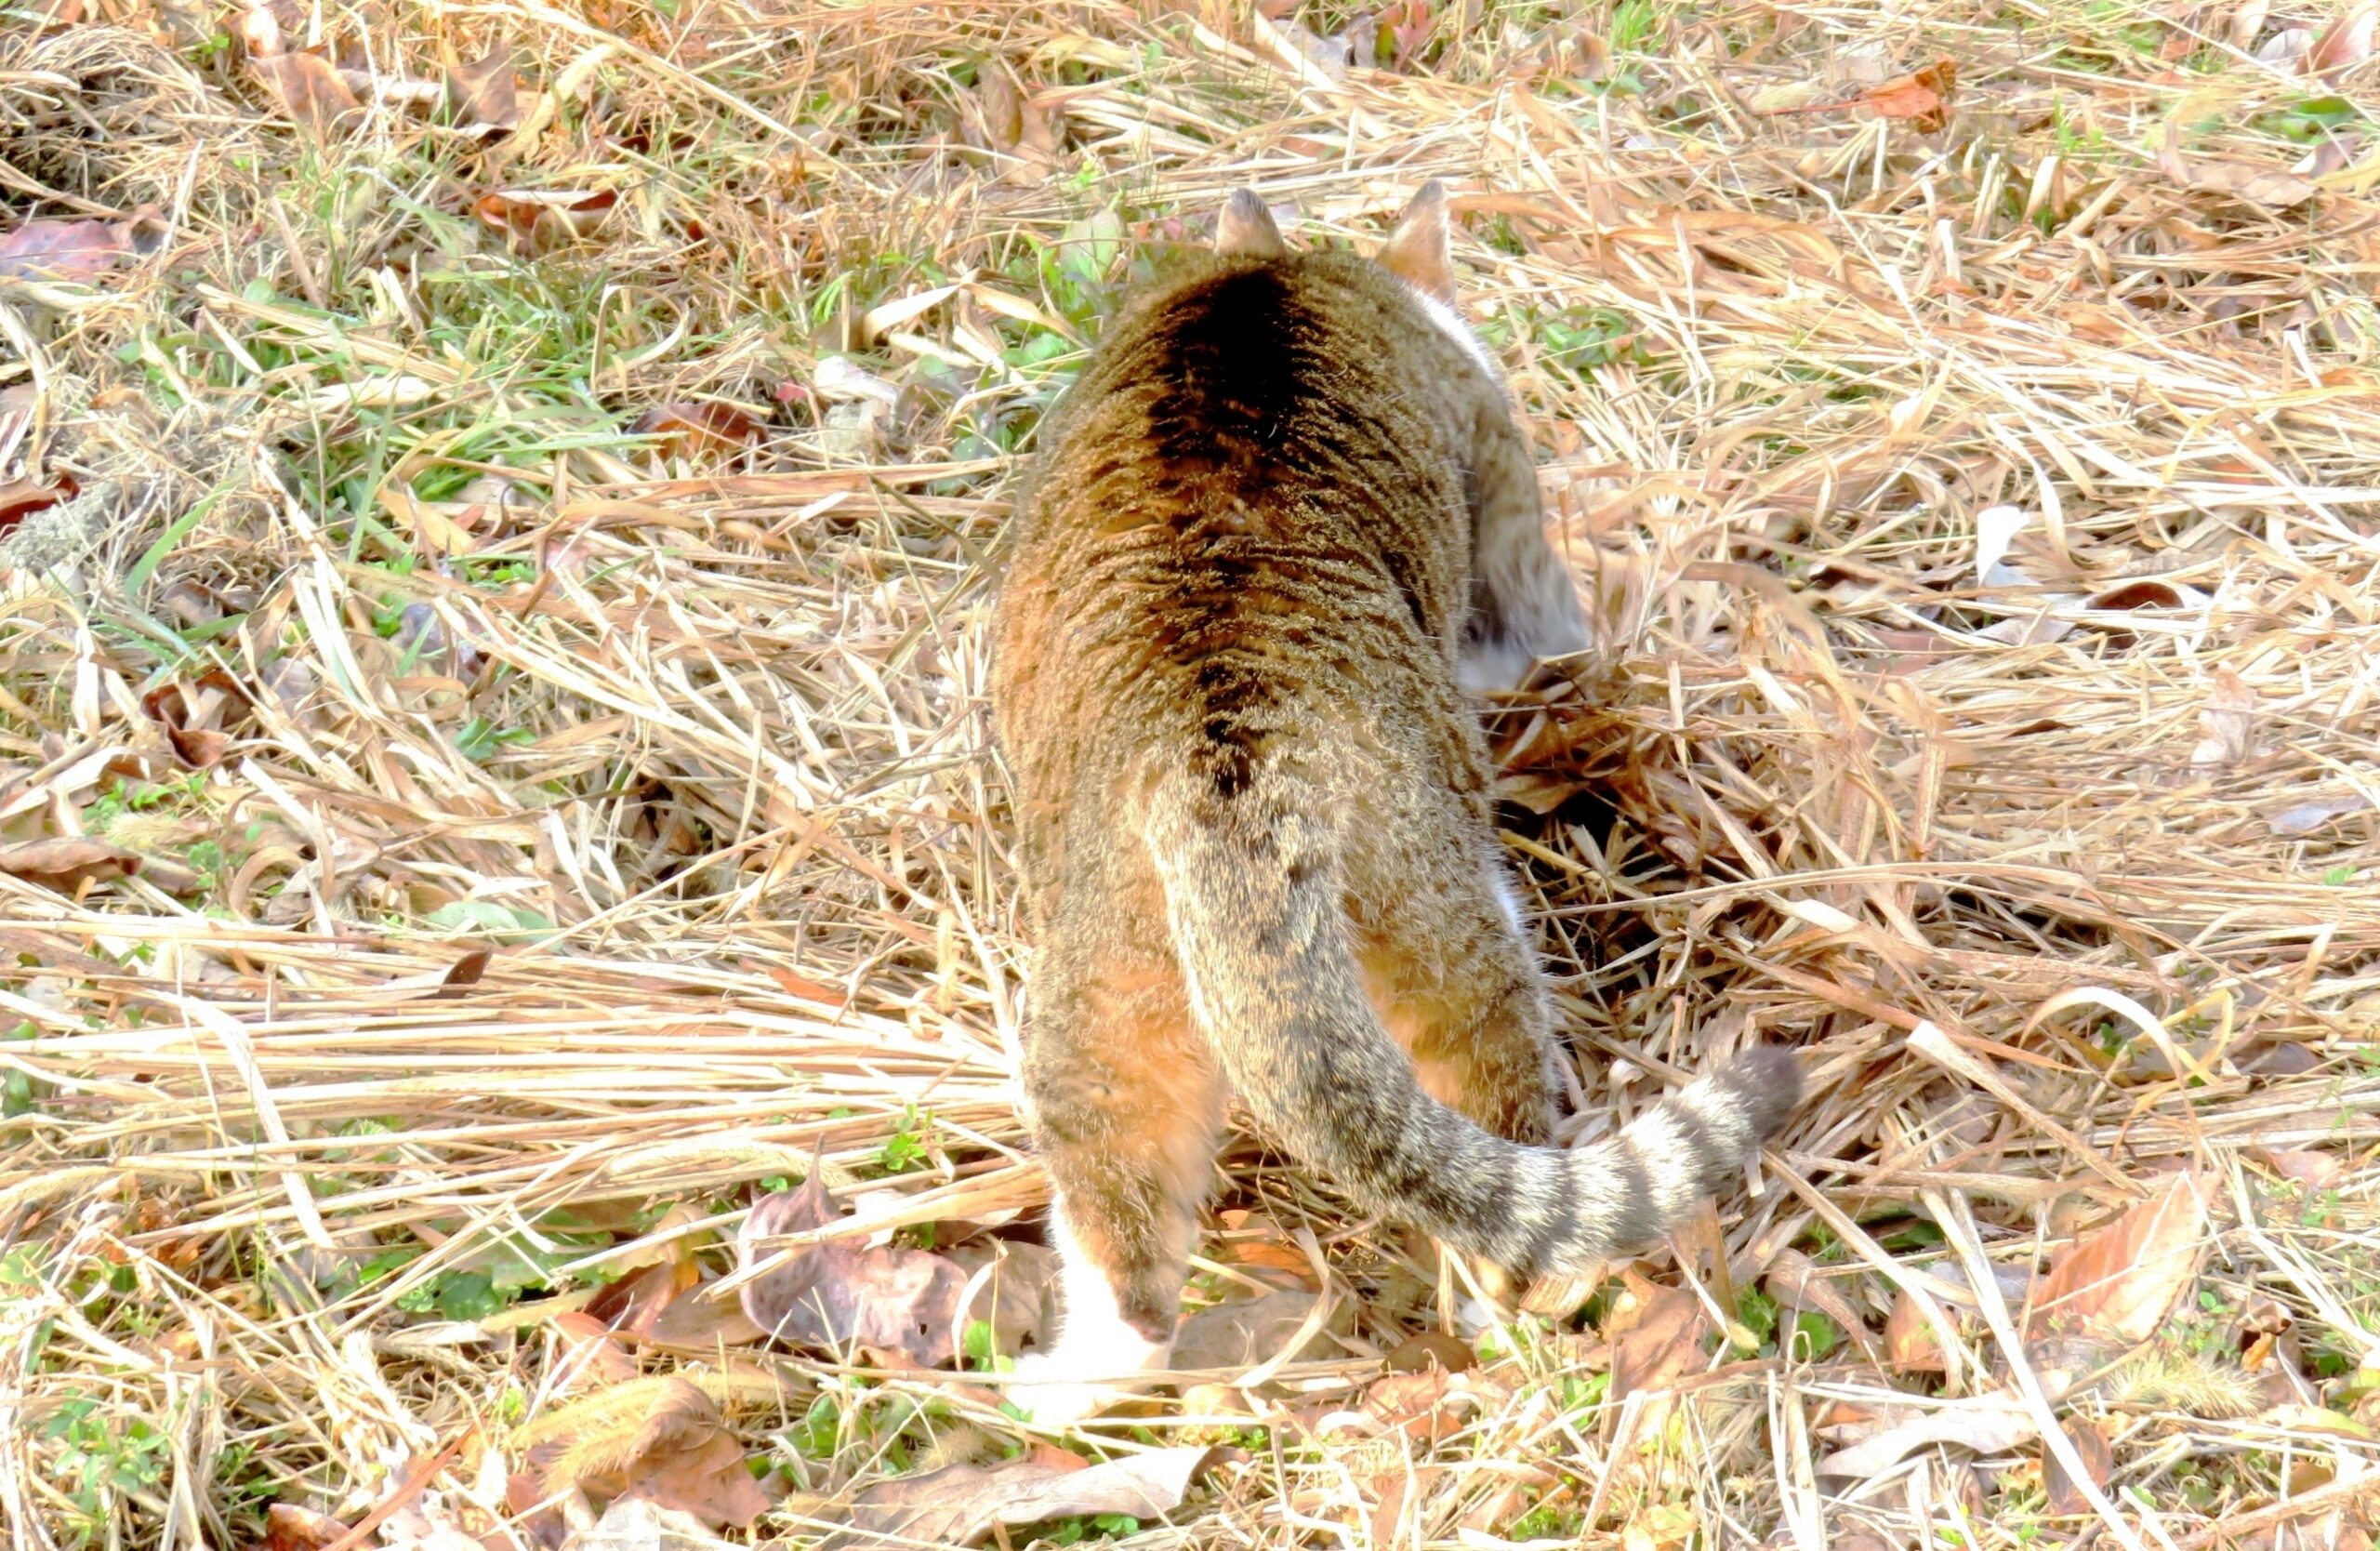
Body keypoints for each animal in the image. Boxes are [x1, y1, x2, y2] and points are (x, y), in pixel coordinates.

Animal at [985, 178, 1799, 1417]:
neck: (1268, 279)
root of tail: (1237, 769)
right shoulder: (1503, 500)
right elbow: (1542, 626)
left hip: (1100, 999)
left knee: (1128, 1236)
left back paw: (1073, 1386)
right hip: (1444, 915)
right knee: (1500, 1154)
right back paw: (1501, 1310)